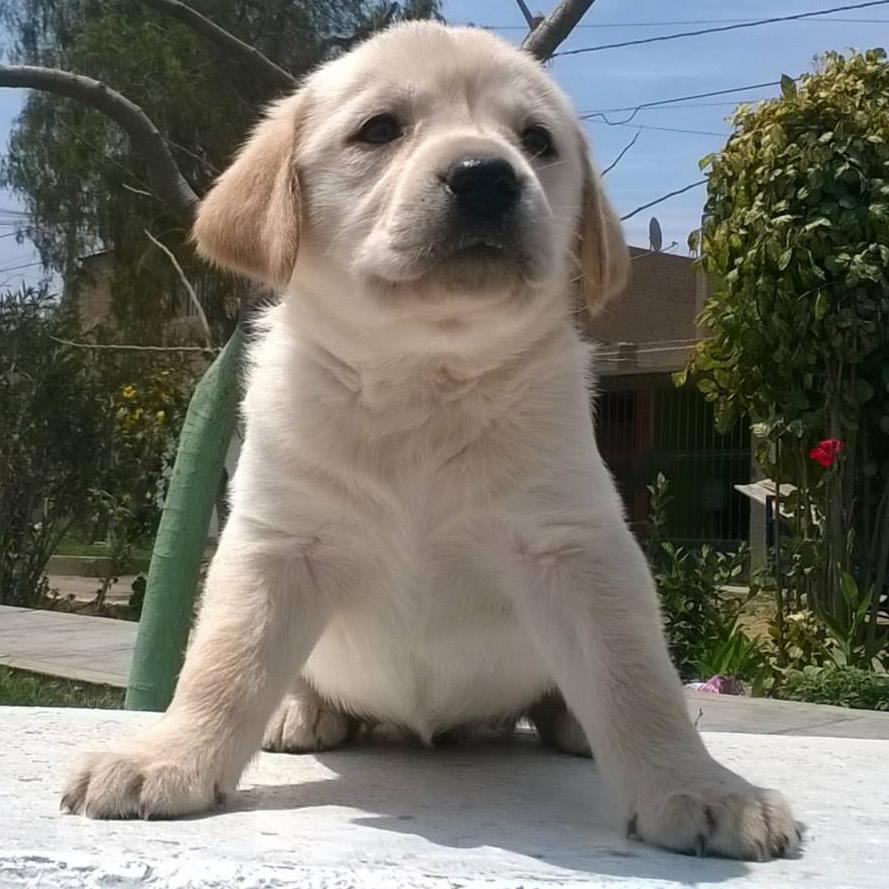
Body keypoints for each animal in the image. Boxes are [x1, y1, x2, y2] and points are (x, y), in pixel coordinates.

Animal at [62, 22, 796, 860]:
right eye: (379, 129)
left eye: (536, 140)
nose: (486, 177)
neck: (423, 380)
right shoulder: (275, 544)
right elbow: (223, 663)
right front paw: (170, 756)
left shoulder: (576, 547)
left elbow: (635, 678)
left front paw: (700, 785)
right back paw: (299, 710)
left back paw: (573, 723)